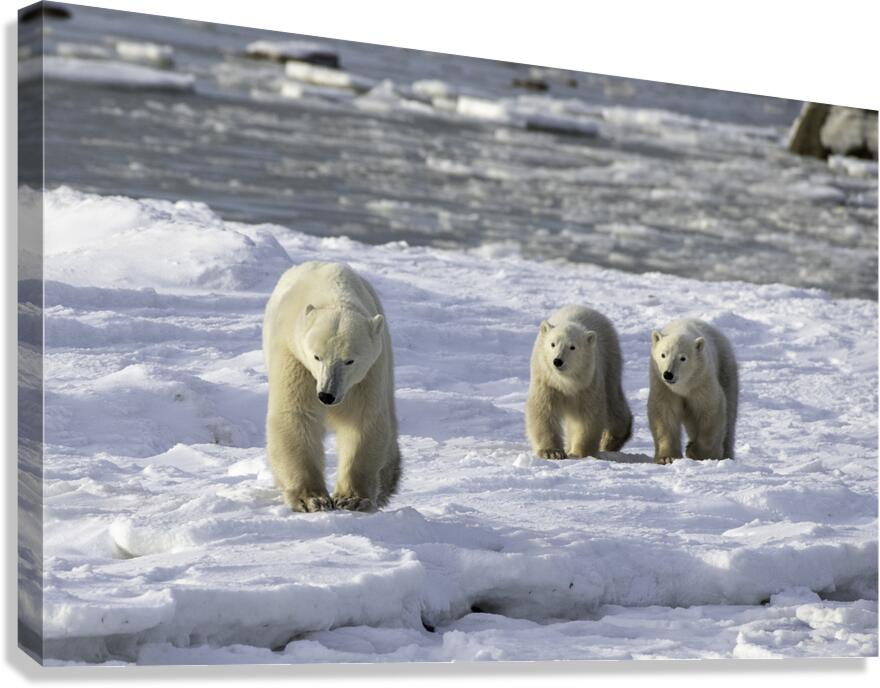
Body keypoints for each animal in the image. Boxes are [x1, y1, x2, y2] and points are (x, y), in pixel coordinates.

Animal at [262, 261, 401, 512]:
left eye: (350, 360)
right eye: (317, 356)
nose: (326, 395)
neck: (333, 292)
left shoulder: (369, 372)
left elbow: (362, 419)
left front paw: (352, 499)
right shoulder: (294, 357)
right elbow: (297, 415)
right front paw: (311, 499)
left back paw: (387, 481)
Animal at [526, 305, 632, 459]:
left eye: (572, 347)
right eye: (552, 344)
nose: (557, 361)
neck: (565, 382)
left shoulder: (588, 383)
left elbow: (588, 414)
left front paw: (579, 452)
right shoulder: (546, 381)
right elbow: (543, 410)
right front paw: (552, 452)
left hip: (610, 362)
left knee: (613, 402)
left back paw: (610, 440)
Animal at [648, 318, 739, 464]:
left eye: (683, 358)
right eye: (663, 354)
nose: (668, 374)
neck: (683, 386)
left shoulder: (701, 382)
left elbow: (710, 411)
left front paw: (698, 452)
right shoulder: (662, 386)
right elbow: (664, 413)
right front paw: (667, 457)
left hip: (726, 370)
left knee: (729, 416)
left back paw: (725, 454)